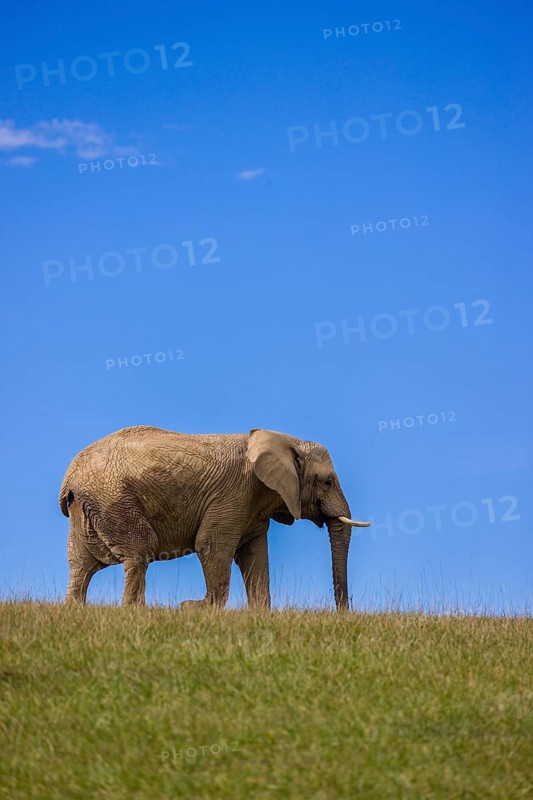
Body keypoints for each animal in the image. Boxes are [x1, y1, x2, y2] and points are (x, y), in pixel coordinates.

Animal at [60, 426, 371, 609]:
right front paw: (195, 609)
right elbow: (212, 546)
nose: (343, 612)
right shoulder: (235, 492)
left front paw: (260, 614)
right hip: (114, 498)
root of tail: (70, 478)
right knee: (139, 553)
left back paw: (75, 610)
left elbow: (254, 555)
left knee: (81, 564)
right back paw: (133, 611)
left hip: (91, 505)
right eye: (328, 482)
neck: (284, 440)